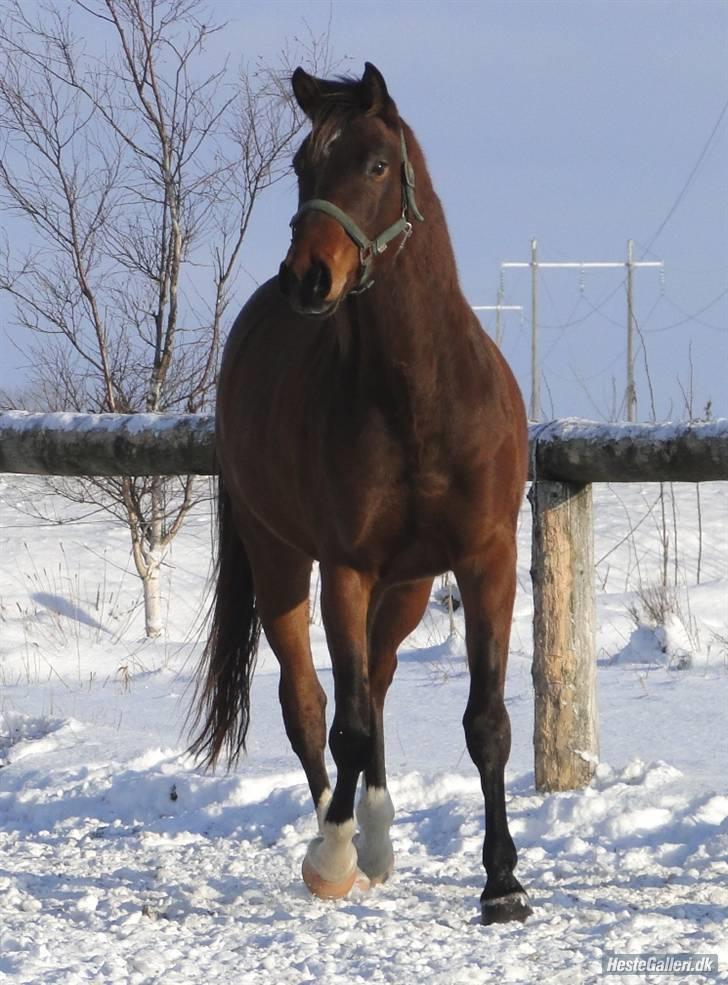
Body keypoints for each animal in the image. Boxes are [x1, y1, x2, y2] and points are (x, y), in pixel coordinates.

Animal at [191, 61, 532, 924]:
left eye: (376, 165)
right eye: (302, 166)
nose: (308, 277)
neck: (418, 393)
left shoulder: (486, 560)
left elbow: (486, 722)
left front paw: (503, 882)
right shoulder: (343, 568)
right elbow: (340, 723)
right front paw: (332, 856)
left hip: (407, 585)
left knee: (374, 683)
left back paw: (377, 837)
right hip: (281, 562)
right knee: (312, 703)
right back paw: (338, 840)